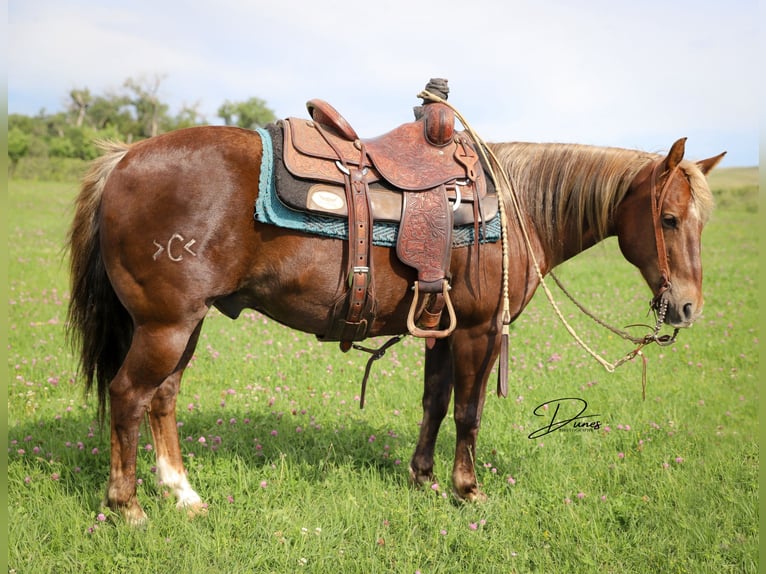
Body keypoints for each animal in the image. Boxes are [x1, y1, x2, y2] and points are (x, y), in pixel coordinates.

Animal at [66, 119, 728, 524]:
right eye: (669, 219)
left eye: (702, 220)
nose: (688, 308)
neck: (514, 209)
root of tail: (124, 158)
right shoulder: (478, 329)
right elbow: (468, 411)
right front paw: (467, 490)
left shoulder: (442, 327)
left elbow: (435, 403)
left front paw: (424, 478)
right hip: (165, 326)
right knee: (129, 396)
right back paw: (128, 506)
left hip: (186, 324)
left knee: (163, 398)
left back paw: (183, 494)